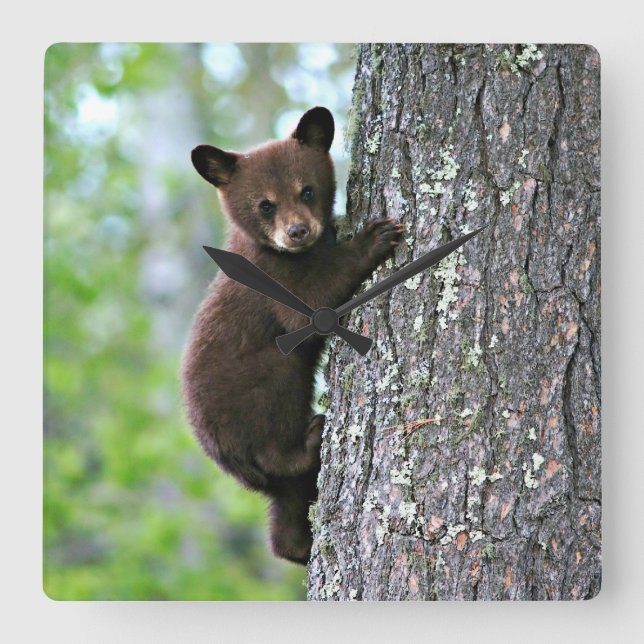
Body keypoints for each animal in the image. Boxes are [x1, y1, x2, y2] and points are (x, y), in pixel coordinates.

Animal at [181, 107, 403, 565]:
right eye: (265, 205)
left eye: (307, 191)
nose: (297, 231)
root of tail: (227, 461)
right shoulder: (274, 280)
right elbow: (311, 305)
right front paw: (373, 237)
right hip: (259, 386)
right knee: (277, 436)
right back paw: (310, 438)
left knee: (285, 513)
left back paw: (298, 545)